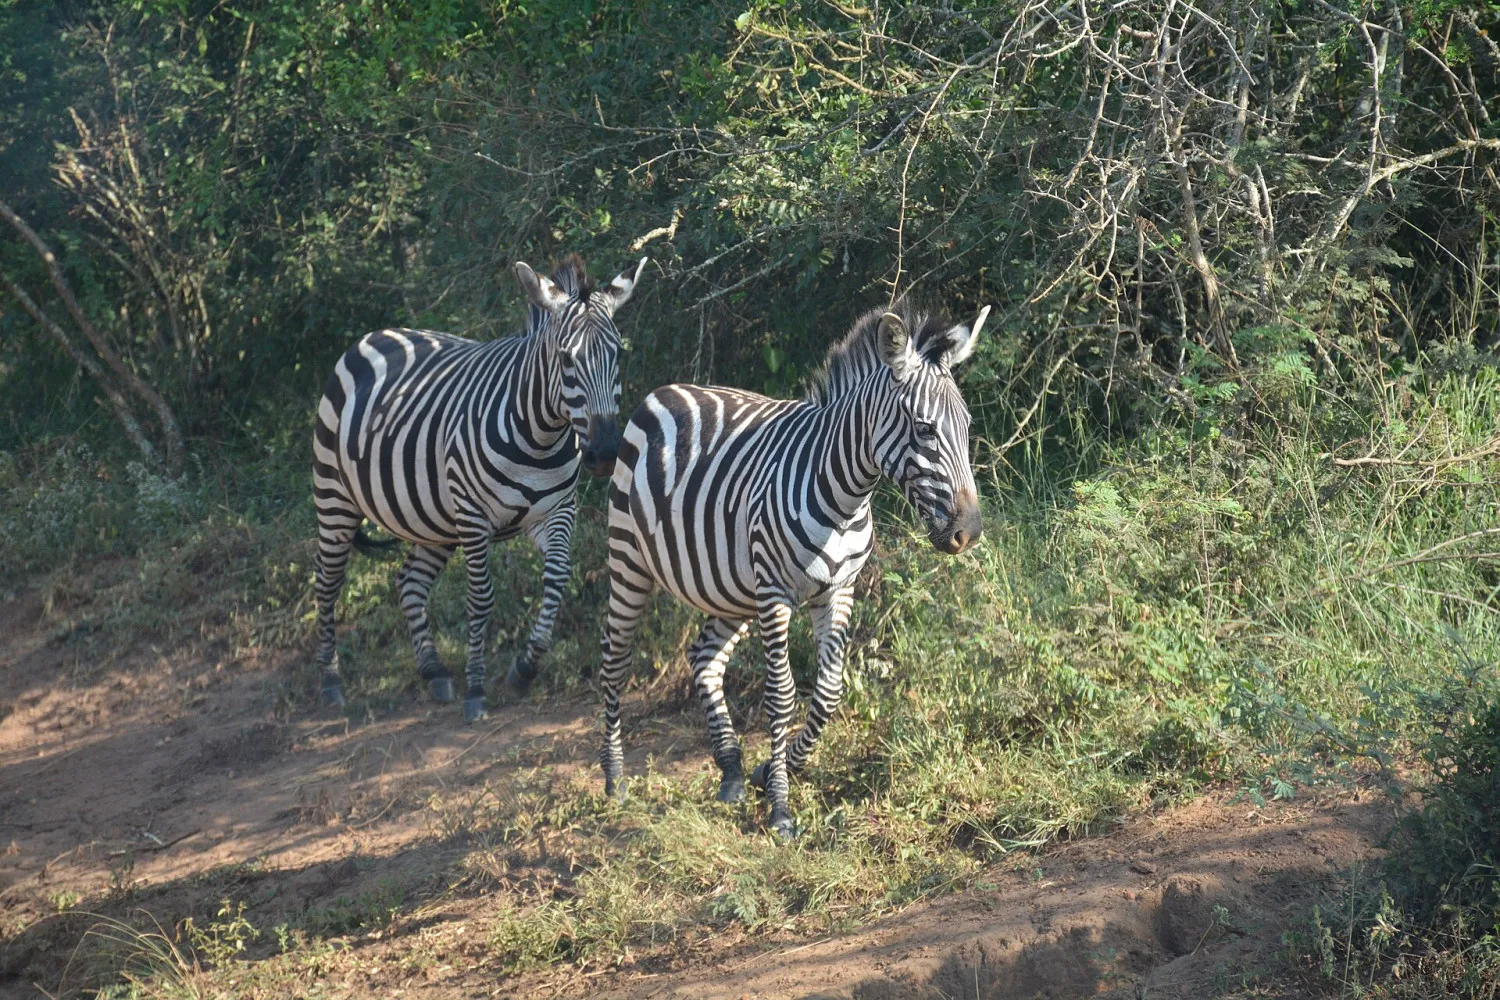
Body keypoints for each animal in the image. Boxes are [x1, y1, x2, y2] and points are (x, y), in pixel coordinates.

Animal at [311, 254, 646, 722]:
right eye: (565, 358)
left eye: (616, 353)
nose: (604, 453)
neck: (539, 437)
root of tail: (376, 334)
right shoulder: (473, 516)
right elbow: (481, 597)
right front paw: (476, 689)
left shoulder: (558, 511)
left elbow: (558, 578)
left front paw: (524, 669)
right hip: (334, 496)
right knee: (327, 580)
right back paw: (330, 681)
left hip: (433, 520)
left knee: (409, 581)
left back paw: (433, 671)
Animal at [597, 300, 989, 837]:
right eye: (925, 429)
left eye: (967, 425)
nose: (968, 531)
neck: (846, 493)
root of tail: (665, 391)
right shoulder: (776, 594)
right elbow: (782, 695)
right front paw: (781, 806)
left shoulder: (838, 591)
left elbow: (829, 691)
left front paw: (773, 771)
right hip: (630, 560)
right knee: (614, 660)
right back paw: (615, 779)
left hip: (731, 587)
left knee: (705, 658)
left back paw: (732, 772)